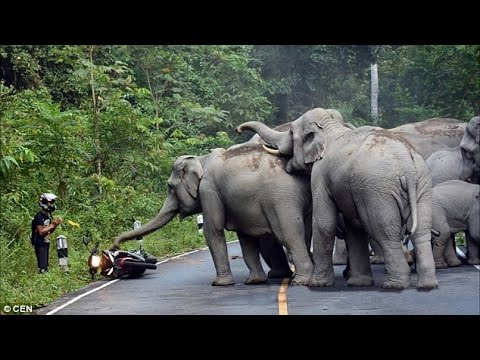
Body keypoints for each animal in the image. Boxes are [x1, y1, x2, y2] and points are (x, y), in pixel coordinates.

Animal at [114, 143, 314, 286]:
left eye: (170, 187)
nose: (115, 245)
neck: (200, 160)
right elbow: (246, 238)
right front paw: (254, 281)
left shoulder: (208, 190)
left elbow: (212, 230)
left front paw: (219, 284)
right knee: (306, 232)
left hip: (281, 199)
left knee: (288, 234)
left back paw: (300, 280)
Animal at [237, 107, 438, 290]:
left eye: (292, 132)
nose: (238, 129)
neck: (330, 128)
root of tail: (407, 163)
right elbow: (353, 227)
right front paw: (358, 283)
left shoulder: (320, 175)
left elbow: (324, 223)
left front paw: (318, 284)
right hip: (422, 185)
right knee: (421, 231)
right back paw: (427, 284)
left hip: (378, 191)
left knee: (384, 232)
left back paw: (394, 285)